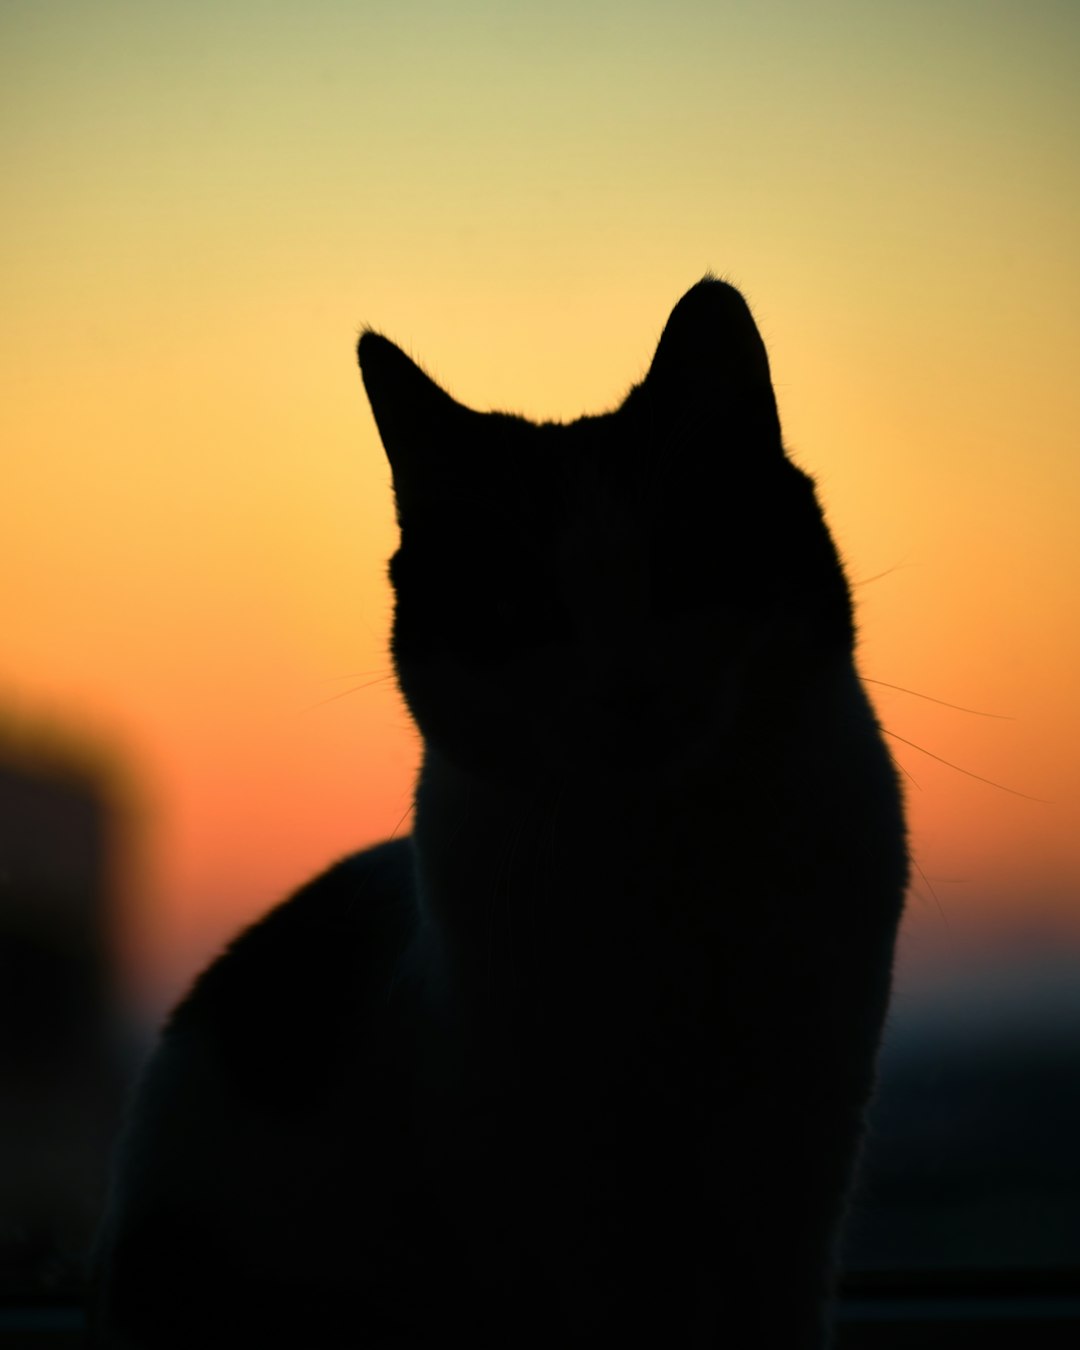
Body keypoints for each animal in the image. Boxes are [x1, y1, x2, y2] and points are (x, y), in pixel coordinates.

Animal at [88, 279, 907, 1344]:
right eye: (519, 609)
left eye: (684, 566)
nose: (627, 689)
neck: (667, 865)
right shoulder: (555, 1206)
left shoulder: (794, 1169)